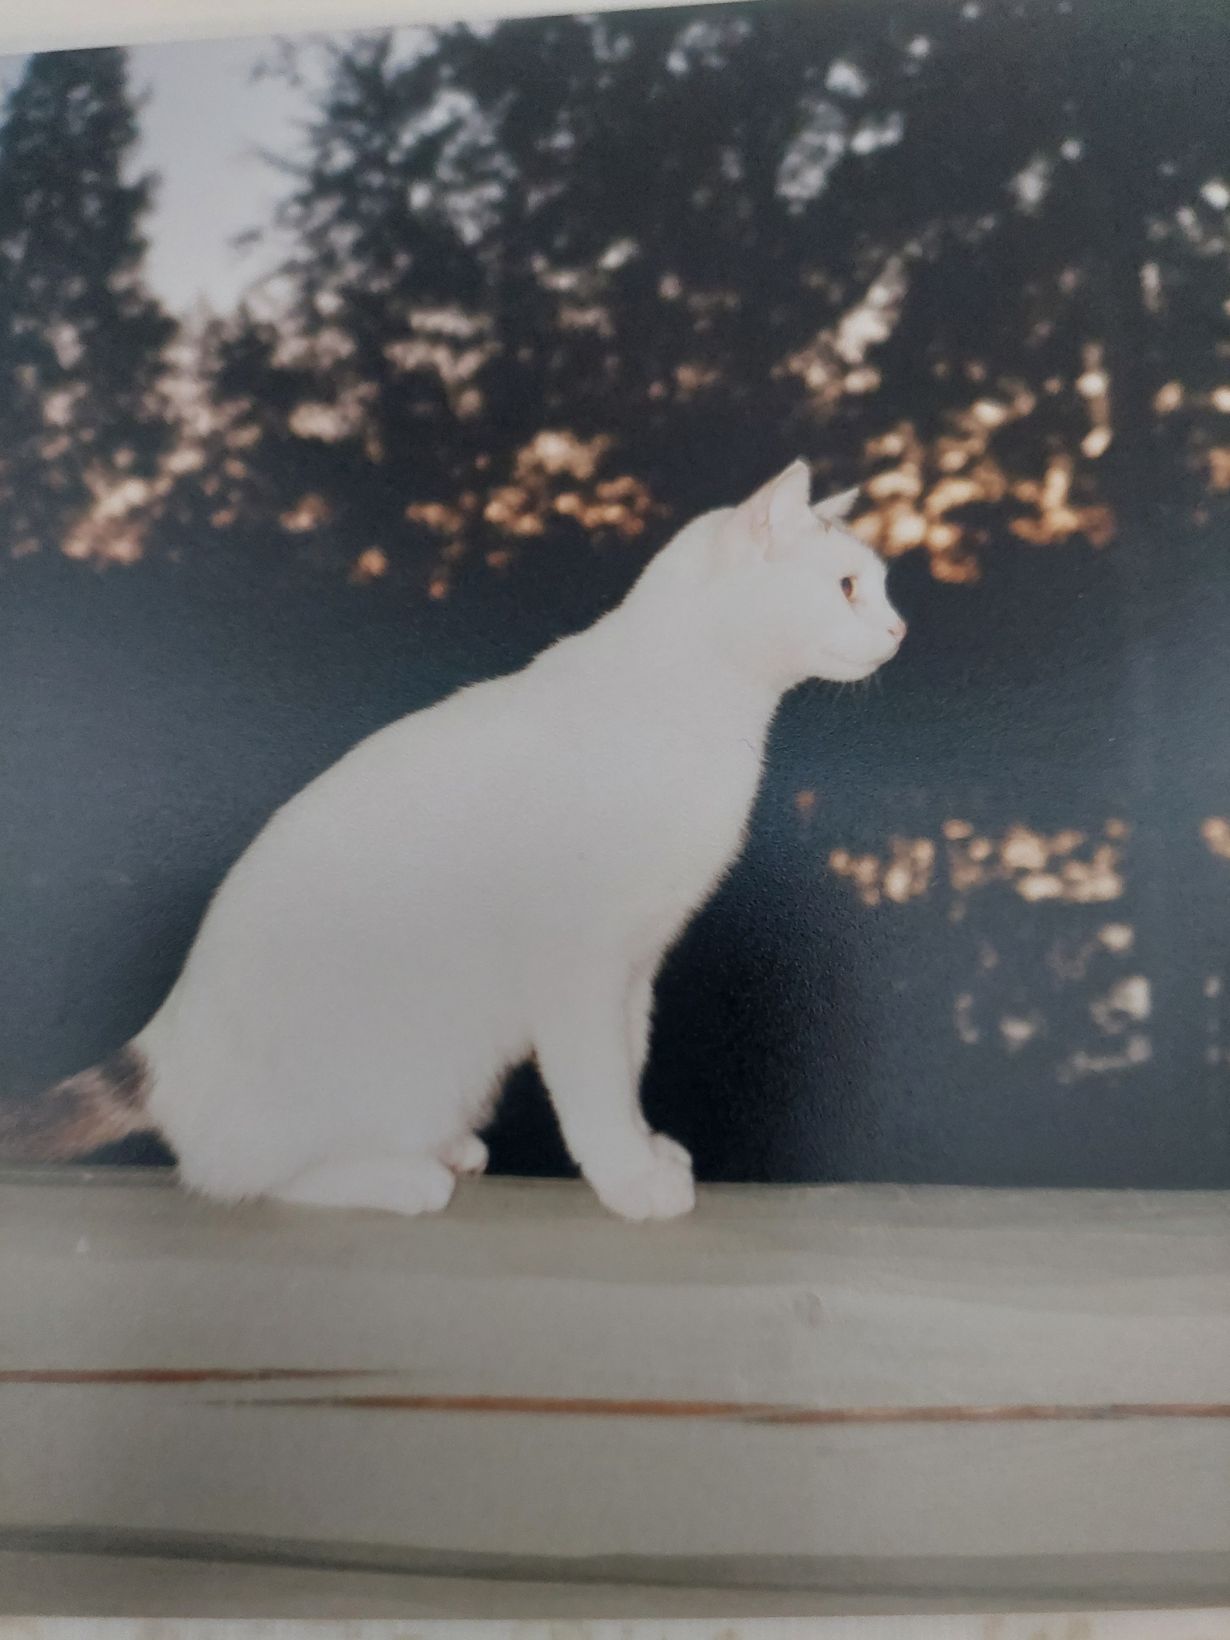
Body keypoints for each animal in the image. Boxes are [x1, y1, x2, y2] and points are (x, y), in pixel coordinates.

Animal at [2, 461, 905, 1220]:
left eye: (881, 586)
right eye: (847, 586)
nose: (900, 629)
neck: (708, 717)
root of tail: (164, 1051)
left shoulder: (636, 968)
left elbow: (628, 1068)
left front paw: (647, 1152)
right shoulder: (581, 967)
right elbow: (596, 1089)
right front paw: (630, 1180)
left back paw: (445, 1150)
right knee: (238, 1179)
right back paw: (405, 1180)